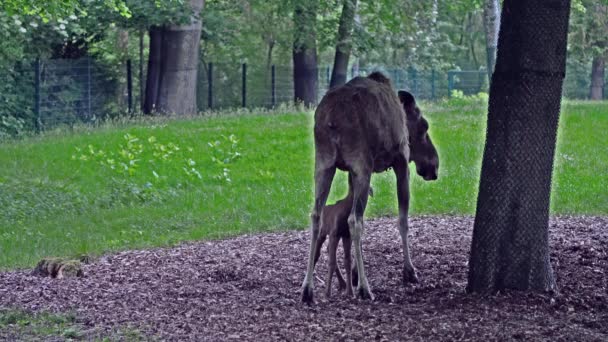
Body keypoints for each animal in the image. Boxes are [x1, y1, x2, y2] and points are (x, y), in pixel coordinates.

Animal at [302, 71, 440, 302]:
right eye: (424, 127)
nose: (434, 166)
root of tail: (331, 120)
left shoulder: (350, 171)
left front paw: (355, 273)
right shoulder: (401, 161)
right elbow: (403, 220)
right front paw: (409, 271)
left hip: (323, 164)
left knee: (316, 215)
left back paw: (307, 289)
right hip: (362, 164)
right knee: (354, 220)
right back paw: (365, 289)